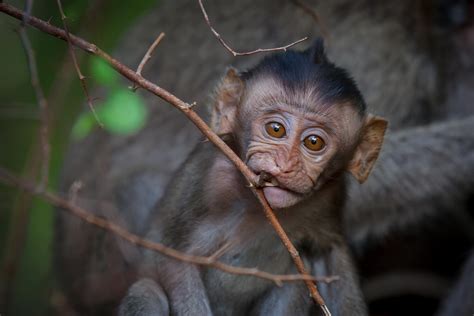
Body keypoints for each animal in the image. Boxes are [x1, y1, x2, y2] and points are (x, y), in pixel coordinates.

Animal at [118, 40, 386, 316]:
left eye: (314, 142)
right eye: (275, 129)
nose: (284, 166)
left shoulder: (331, 196)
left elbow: (331, 256)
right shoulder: (209, 180)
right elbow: (177, 262)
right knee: (147, 290)